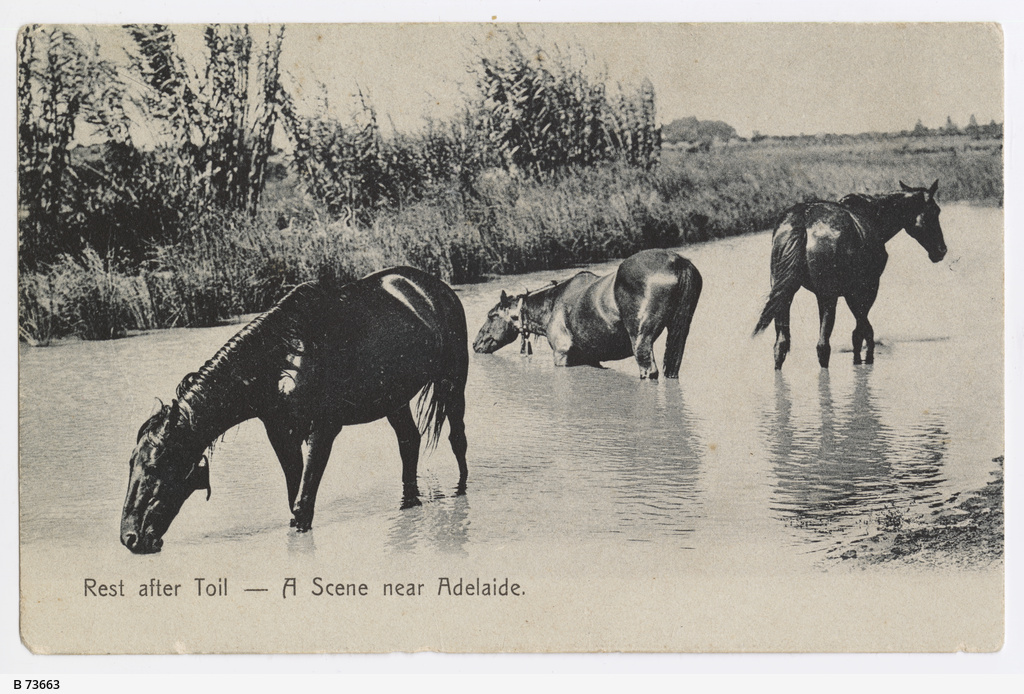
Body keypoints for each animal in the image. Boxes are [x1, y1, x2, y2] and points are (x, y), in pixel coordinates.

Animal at [120, 267, 469, 554]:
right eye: (131, 463)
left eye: (158, 465)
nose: (130, 538)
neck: (282, 360)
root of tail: (437, 288)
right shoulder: (282, 436)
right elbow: (295, 498)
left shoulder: (324, 430)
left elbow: (304, 503)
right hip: (395, 401)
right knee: (409, 441)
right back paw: (409, 502)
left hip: (453, 382)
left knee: (457, 440)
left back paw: (461, 490)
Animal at [473, 249, 702, 380]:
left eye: (491, 315)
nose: (475, 344)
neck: (552, 305)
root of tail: (677, 261)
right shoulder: (592, 359)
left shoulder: (562, 356)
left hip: (641, 342)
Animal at [753, 180, 947, 370]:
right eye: (935, 211)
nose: (941, 250)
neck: (874, 217)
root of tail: (802, 223)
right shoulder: (865, 288)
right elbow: (863, 333)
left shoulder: (848, 293)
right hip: (827, 295)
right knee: (823, 346)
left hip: (784, 295)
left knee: (781, 345)